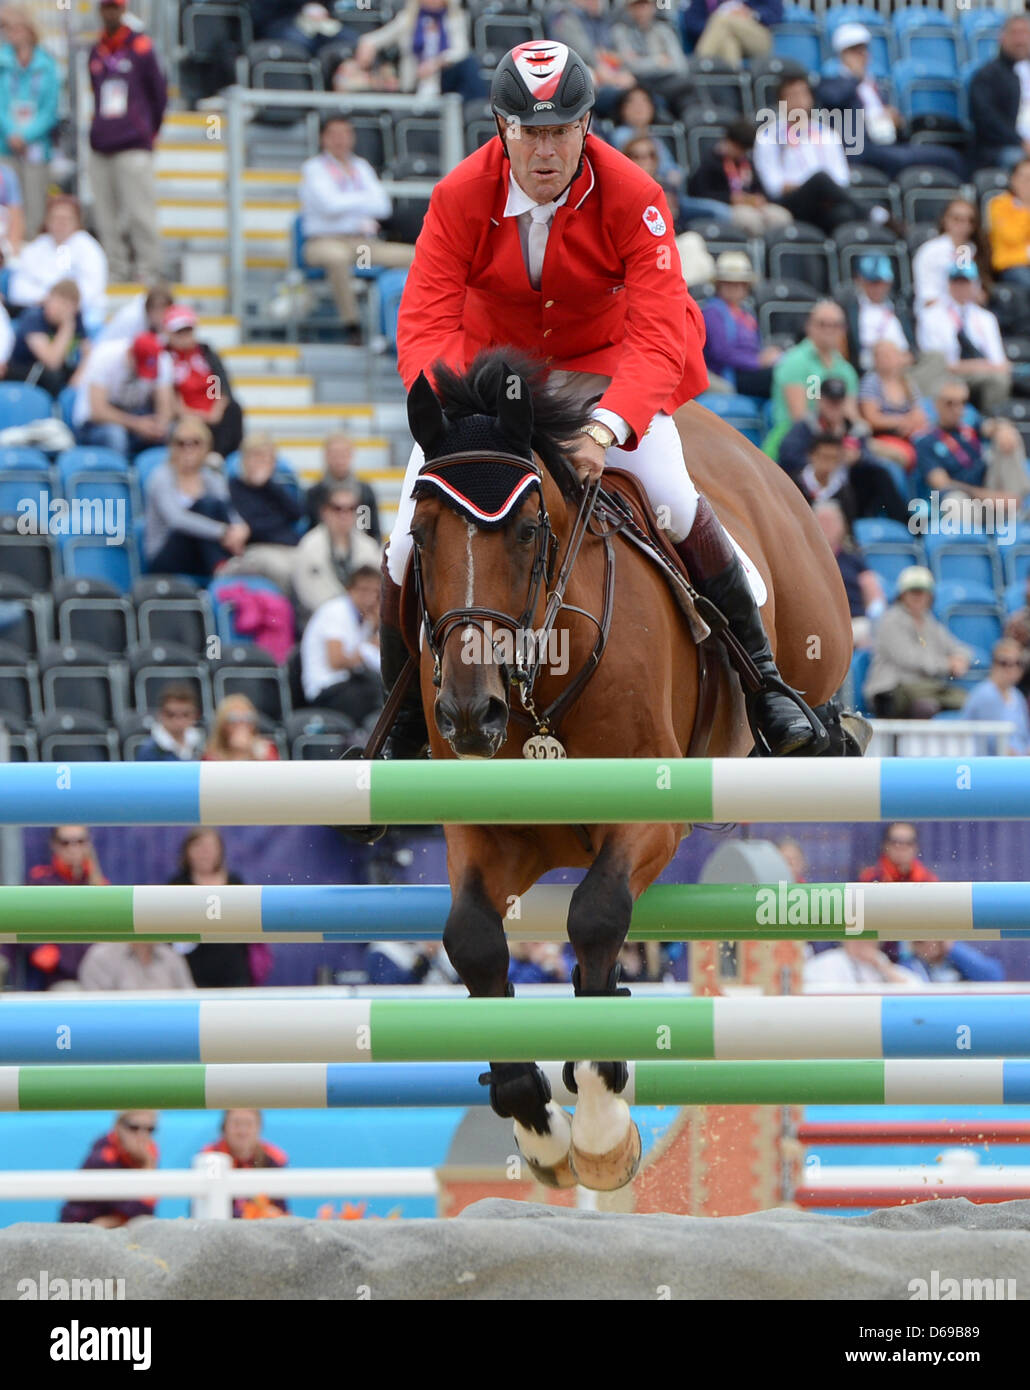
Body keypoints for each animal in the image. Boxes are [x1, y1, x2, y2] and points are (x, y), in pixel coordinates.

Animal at [403, 350, 850, 1195]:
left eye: (526, 530)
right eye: (419, 534)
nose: (469, 716)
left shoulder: (651, 817)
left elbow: (597, 913)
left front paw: (603, 1123)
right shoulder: (482, 832)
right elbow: (473, 939)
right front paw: (538, 1124)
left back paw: (806, 720)